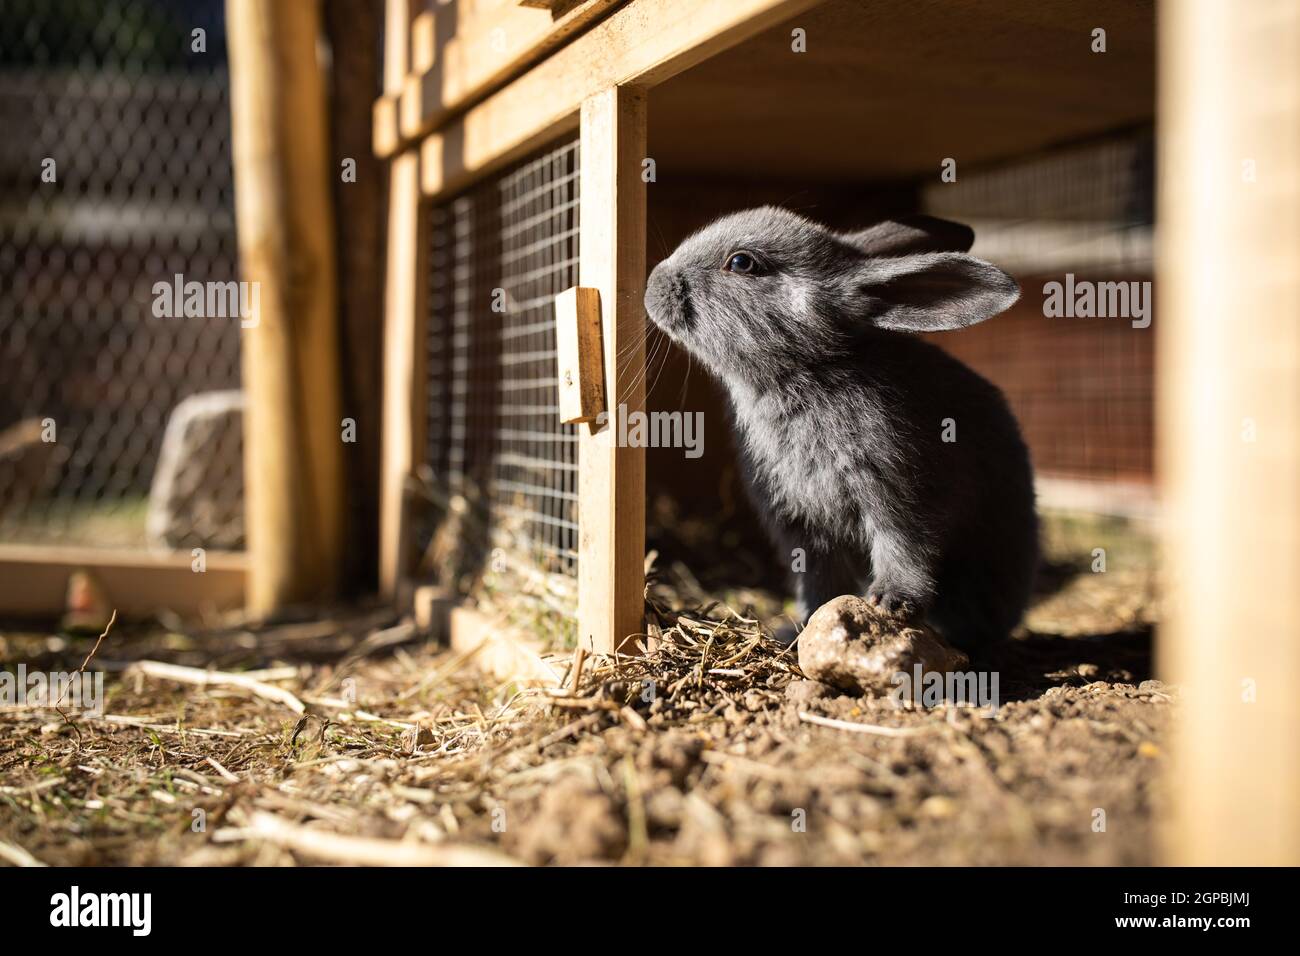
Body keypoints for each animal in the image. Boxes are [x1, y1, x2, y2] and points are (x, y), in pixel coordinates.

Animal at [644, 208, 1040, 650]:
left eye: (742, 263)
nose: (653, 283)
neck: (804, 372)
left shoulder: (900, 499)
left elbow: (905, 552)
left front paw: (891, 603)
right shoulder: (802, 530)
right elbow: (819, 582)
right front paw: (805, 625)